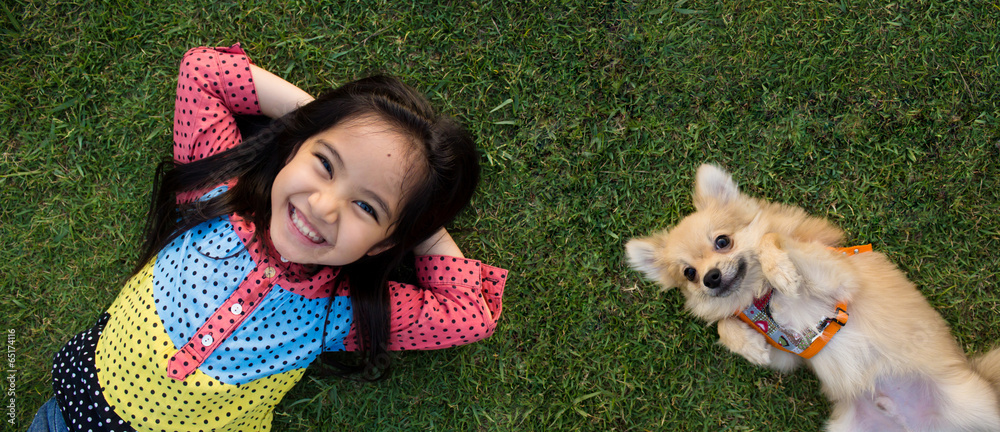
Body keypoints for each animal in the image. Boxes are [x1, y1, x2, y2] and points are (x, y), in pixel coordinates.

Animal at [624, 165, 1000, 432]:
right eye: (689, 273)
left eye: (722, 242)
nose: (710, 277)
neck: (761, 296)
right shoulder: (790, 352)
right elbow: (725, 326)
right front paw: (748, 346)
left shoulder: (841, 280)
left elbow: (771, 238)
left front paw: (782, 271)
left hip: (973, 401)